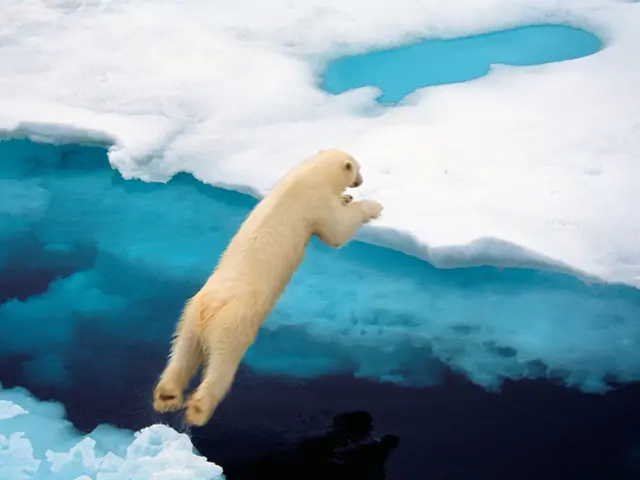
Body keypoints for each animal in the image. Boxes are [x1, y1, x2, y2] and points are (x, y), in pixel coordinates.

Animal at [152, 149, 383, 426]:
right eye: (357, 168)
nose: (360, 181)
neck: (307, 175)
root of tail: (210, 310)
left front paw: (347, 198)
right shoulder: (315, 204)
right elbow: (337, 231)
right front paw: (373, 206)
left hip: (188, 318)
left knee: (182, 353)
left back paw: (167, 397)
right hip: (233, 324)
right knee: (222, 364)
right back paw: (198, 410)